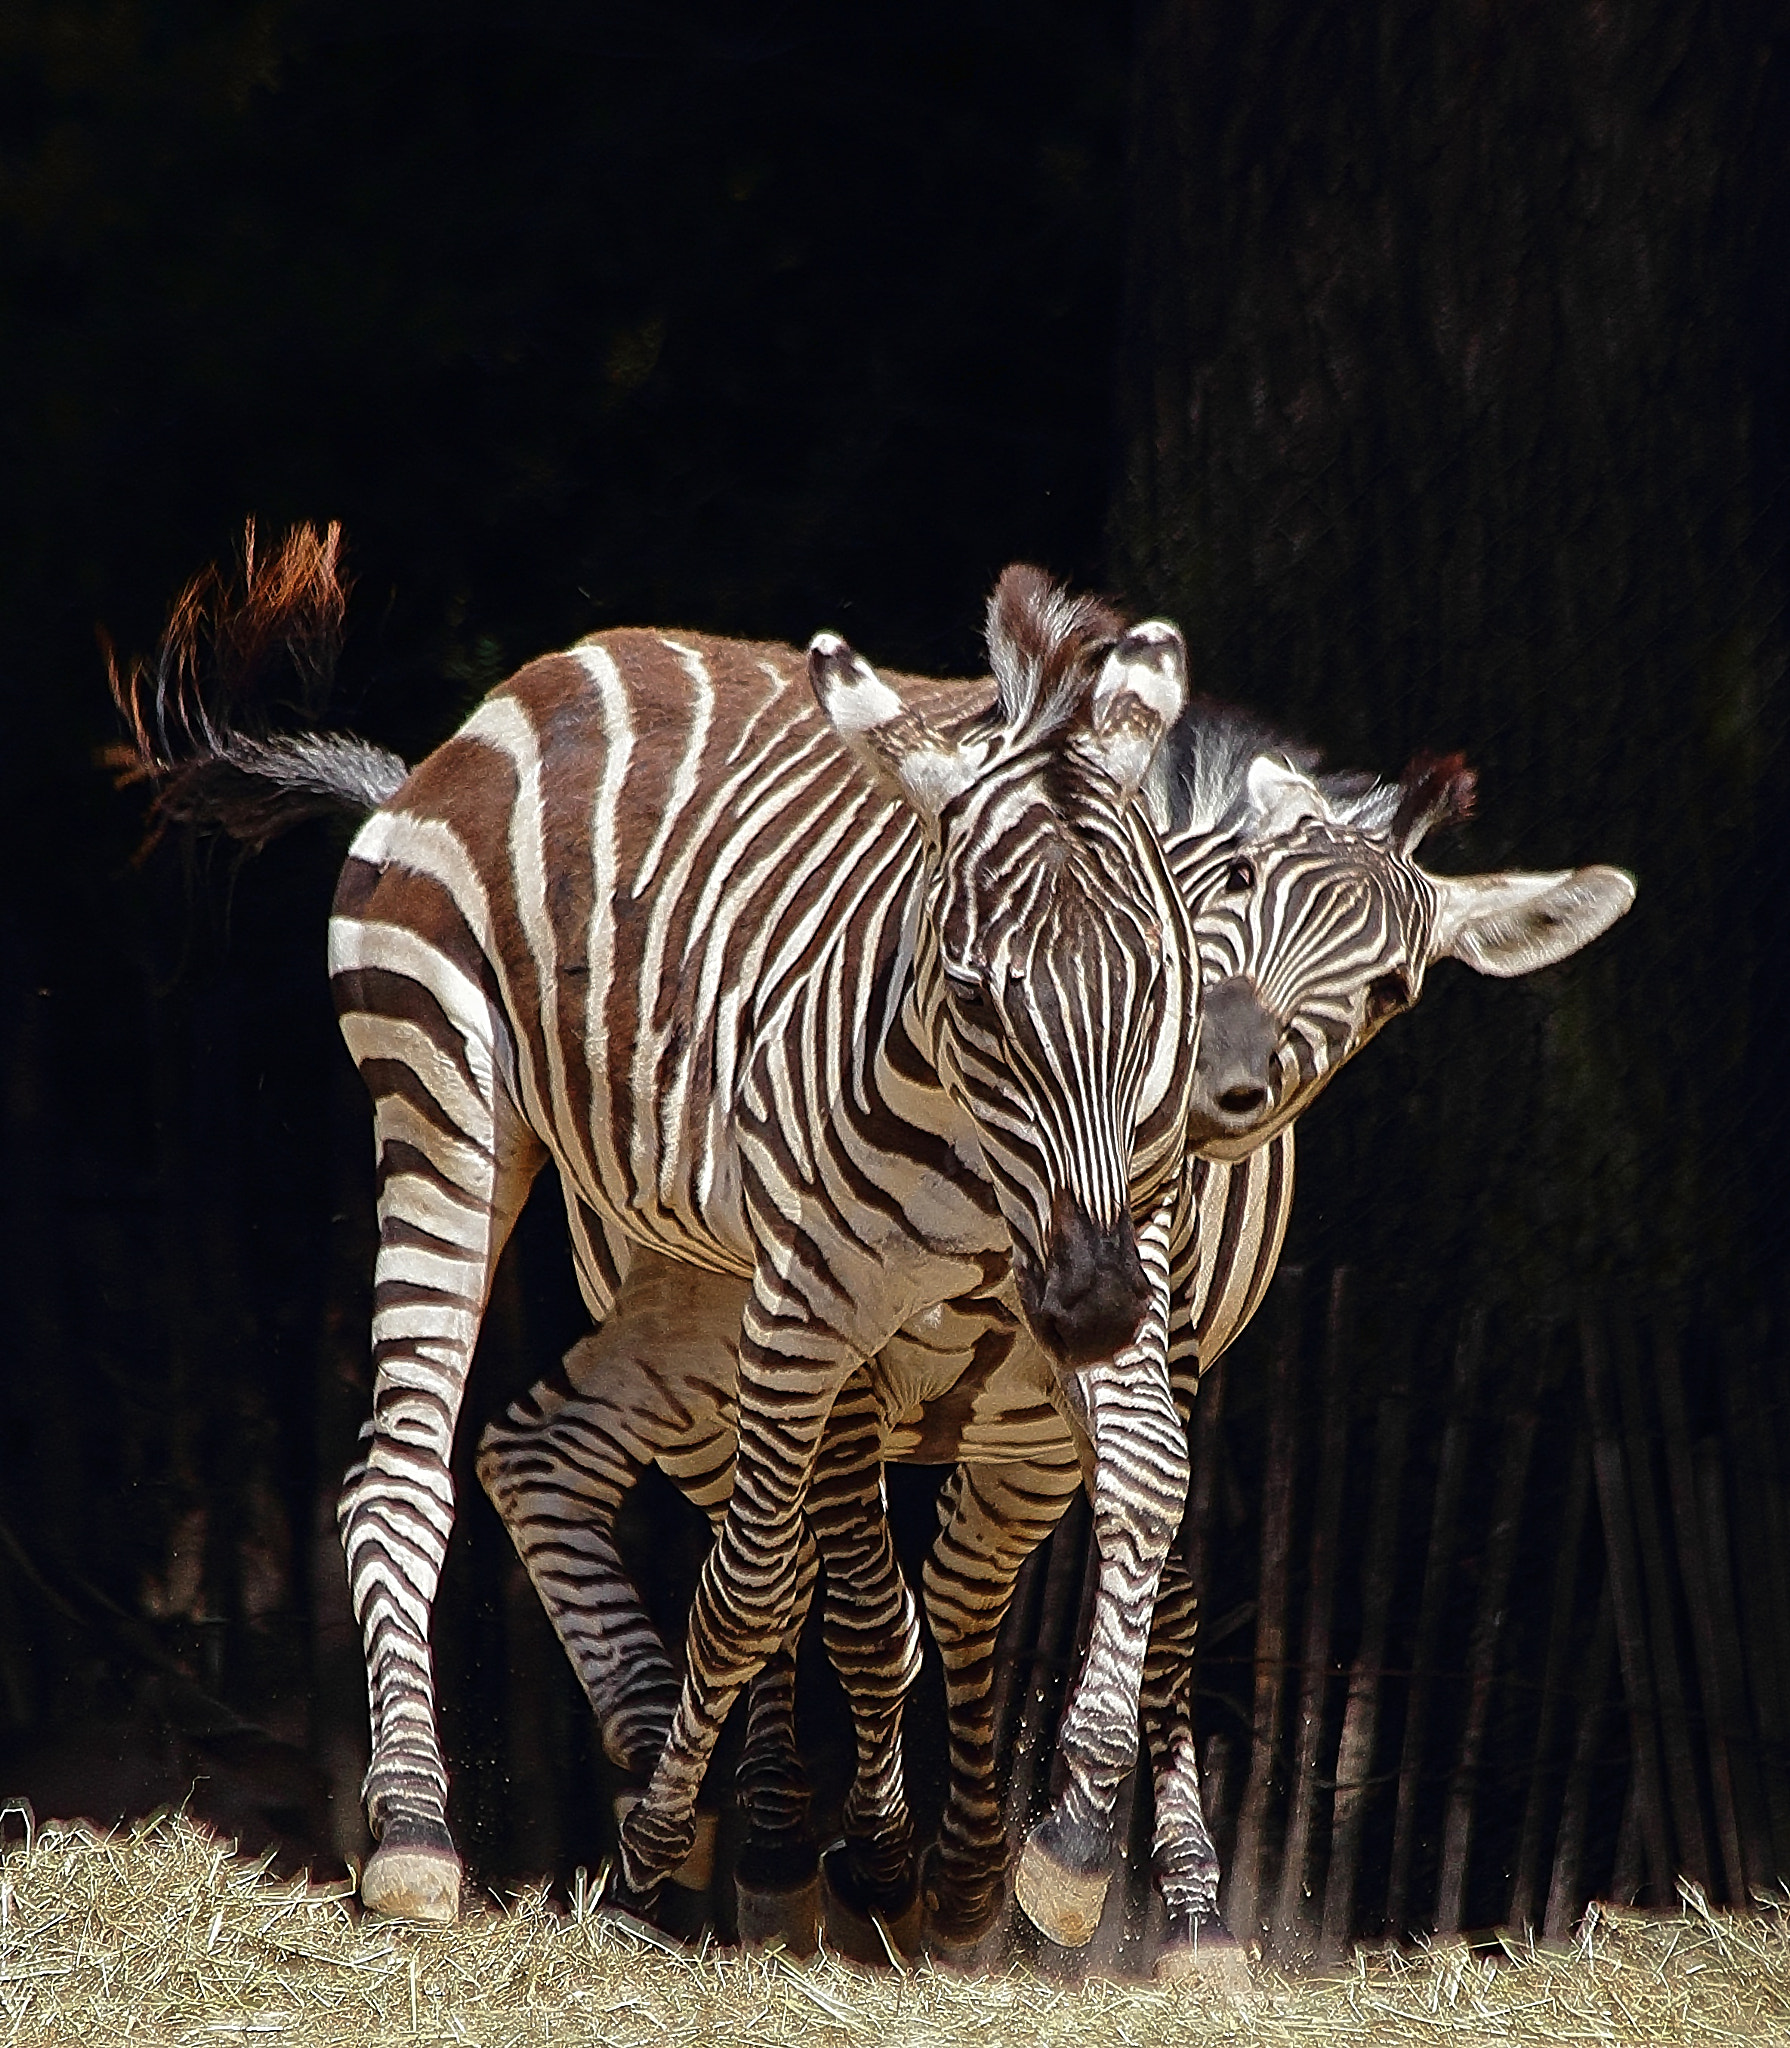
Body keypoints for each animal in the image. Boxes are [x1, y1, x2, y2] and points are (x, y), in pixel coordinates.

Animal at [113, 529, 1220, 1927]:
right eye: (975, 992)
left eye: (1160, 972)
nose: (1085, 1307)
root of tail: (500, 704)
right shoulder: (813, 1300)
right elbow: (758, 1586)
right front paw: (682, 1840)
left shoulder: (1126, 1229)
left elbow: (1143, 1484)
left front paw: (1066, 1844)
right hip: (443, 1105)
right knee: (399, 1477)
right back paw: (420, 1831)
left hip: (679, 1265)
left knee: (540, 1449)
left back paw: (653, 1757)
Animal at [473, 721, 1636, 1964]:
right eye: (1233, 879)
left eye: (1392, 987)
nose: (1212, 1078)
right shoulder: (846, 1336)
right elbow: (856, 1605)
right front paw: (868, 1853)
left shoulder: (1145, 1368)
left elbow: (1150, 1585)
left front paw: (1134, 1886)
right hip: (705, 1349)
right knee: (772, 1569)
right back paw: (777, 1841)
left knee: (952, 1582)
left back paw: (951, 1864)